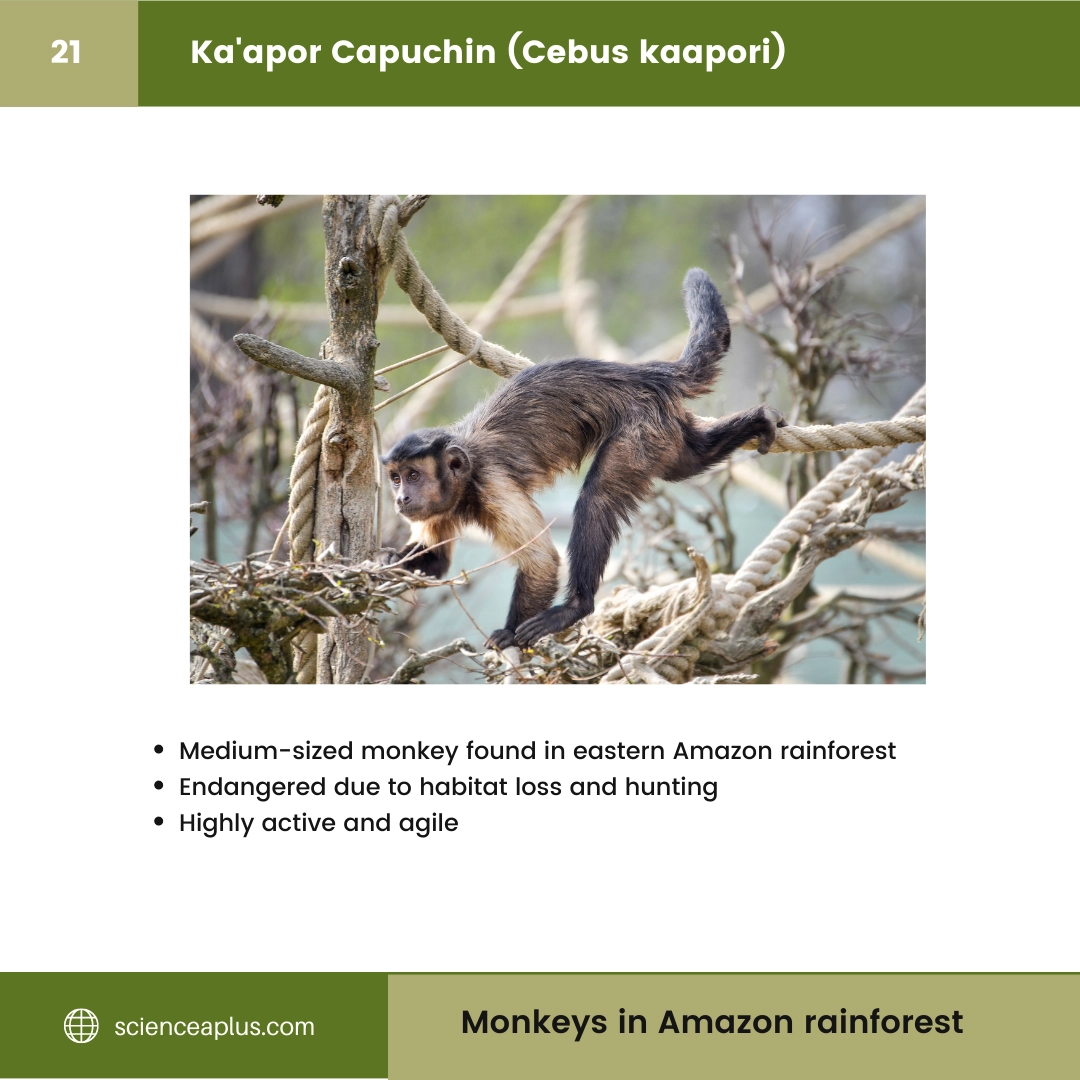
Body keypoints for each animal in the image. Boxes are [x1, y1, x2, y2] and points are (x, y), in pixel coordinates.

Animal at [381, 268, 785, 649]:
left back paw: (577, 606)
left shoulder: (493, 486)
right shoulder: (439, 508)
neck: (464, 484)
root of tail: (644, 372)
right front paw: (389, 561)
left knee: (598, 498)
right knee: (686, 463)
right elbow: (438, 562)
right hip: (662, 425)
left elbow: (542, 563)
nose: (401, 498)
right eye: (396, 479)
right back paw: (757, 421)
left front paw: (509, 633)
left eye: (414, 476)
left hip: (640, 426)